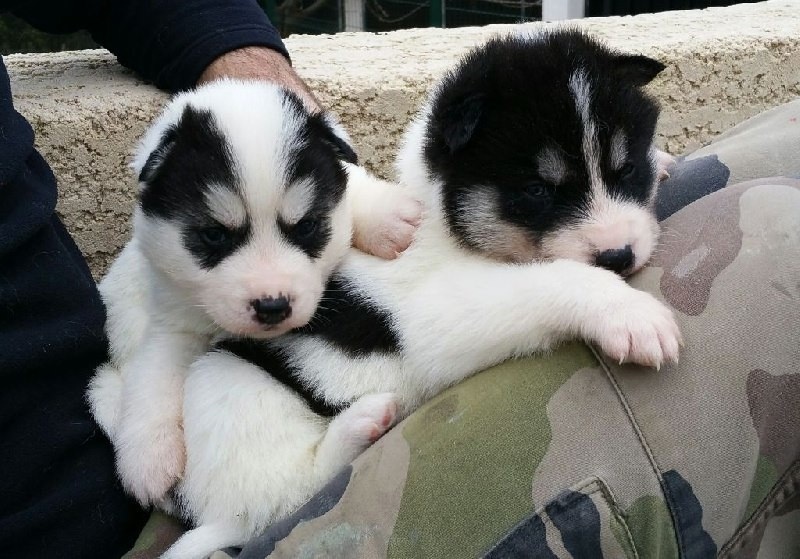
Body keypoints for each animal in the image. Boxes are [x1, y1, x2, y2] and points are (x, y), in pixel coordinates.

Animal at [86, 79, 422, 507]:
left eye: (306, 226)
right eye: (215, 235)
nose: (272, 306)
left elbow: (351, 182)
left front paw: (386, 217)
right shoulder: (174, 324)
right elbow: (154, 375)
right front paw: (148, 458)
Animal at [157, 29, 683, 558]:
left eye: (626, 169)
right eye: (537, 190)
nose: (619, 256)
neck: (445, 219)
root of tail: (211, 514)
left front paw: (663, 164)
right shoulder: (435, 312)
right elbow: (550, 280)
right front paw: (630, 315)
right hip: (229, 385)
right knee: (280, 498)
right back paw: (359, 426)